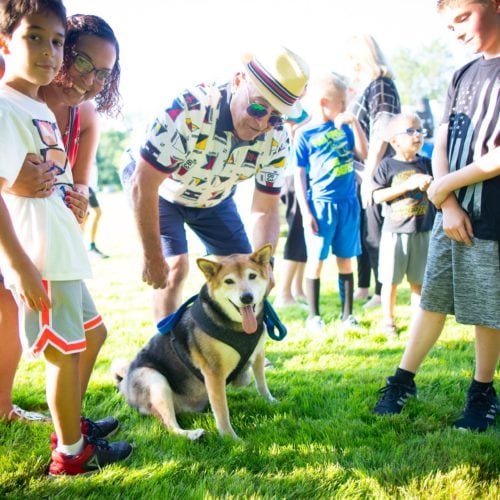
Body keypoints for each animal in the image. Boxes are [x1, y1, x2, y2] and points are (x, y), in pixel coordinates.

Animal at [113, 244, 276, 440]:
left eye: (252, 276)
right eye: (229, 281)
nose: (247, 298)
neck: (238, 327)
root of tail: (124, 382)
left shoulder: (258, 354)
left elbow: (260, 383)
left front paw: (270, 400)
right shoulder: (214, 374)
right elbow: (222, 410)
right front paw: (230, 437)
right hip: (154, 380)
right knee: (169, 424)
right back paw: (192, 434)